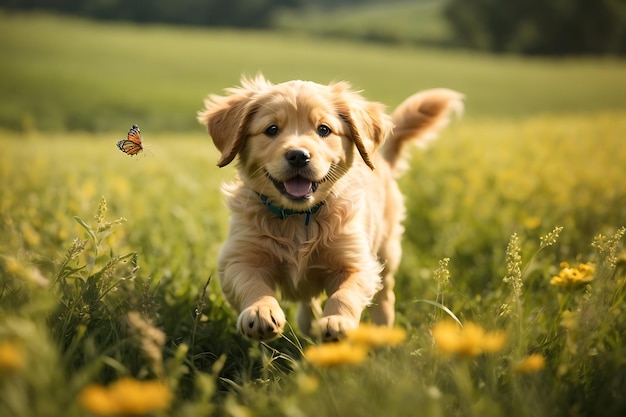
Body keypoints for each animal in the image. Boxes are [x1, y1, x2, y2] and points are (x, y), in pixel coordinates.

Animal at [197, 75, 460, 342]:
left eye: (324, 129)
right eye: (271, 129)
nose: (298, 155)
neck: (298, 217)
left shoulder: (357, 261)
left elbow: (345, 294)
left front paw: (338, 321)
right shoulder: (238, 258)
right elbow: (251, 284)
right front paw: (260, 311)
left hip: (388, 250)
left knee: (385, 291)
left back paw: (381, 328)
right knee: (308, 299)